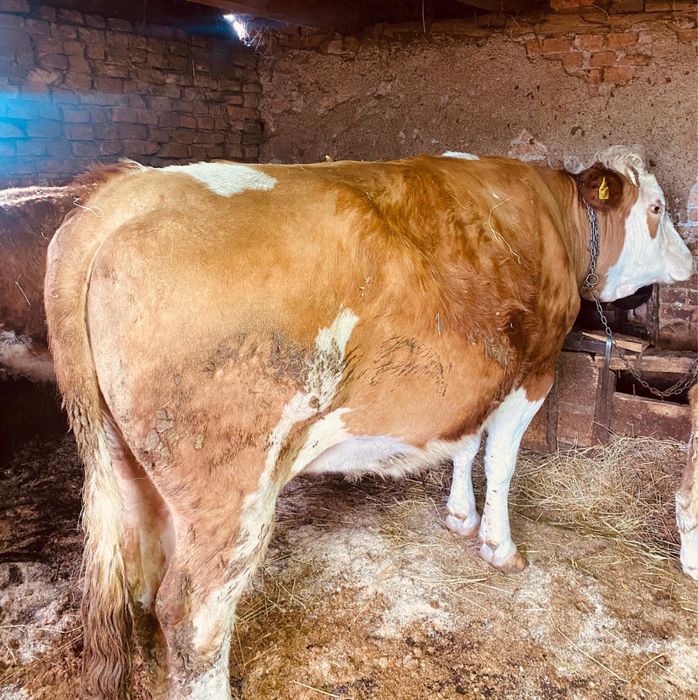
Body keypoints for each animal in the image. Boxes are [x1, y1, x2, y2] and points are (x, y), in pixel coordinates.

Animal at [44, 146, 693, 699]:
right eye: (658, 208)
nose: (690, 260)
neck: (555, 219)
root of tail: (126, 194)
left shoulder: (475, 380)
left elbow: (464, 445)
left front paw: (460, 517)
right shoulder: (533, 371)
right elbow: (501, 461)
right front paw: (499, 545)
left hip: (127, 464)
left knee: (141, 587)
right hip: (233, 488)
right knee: (193, 613)